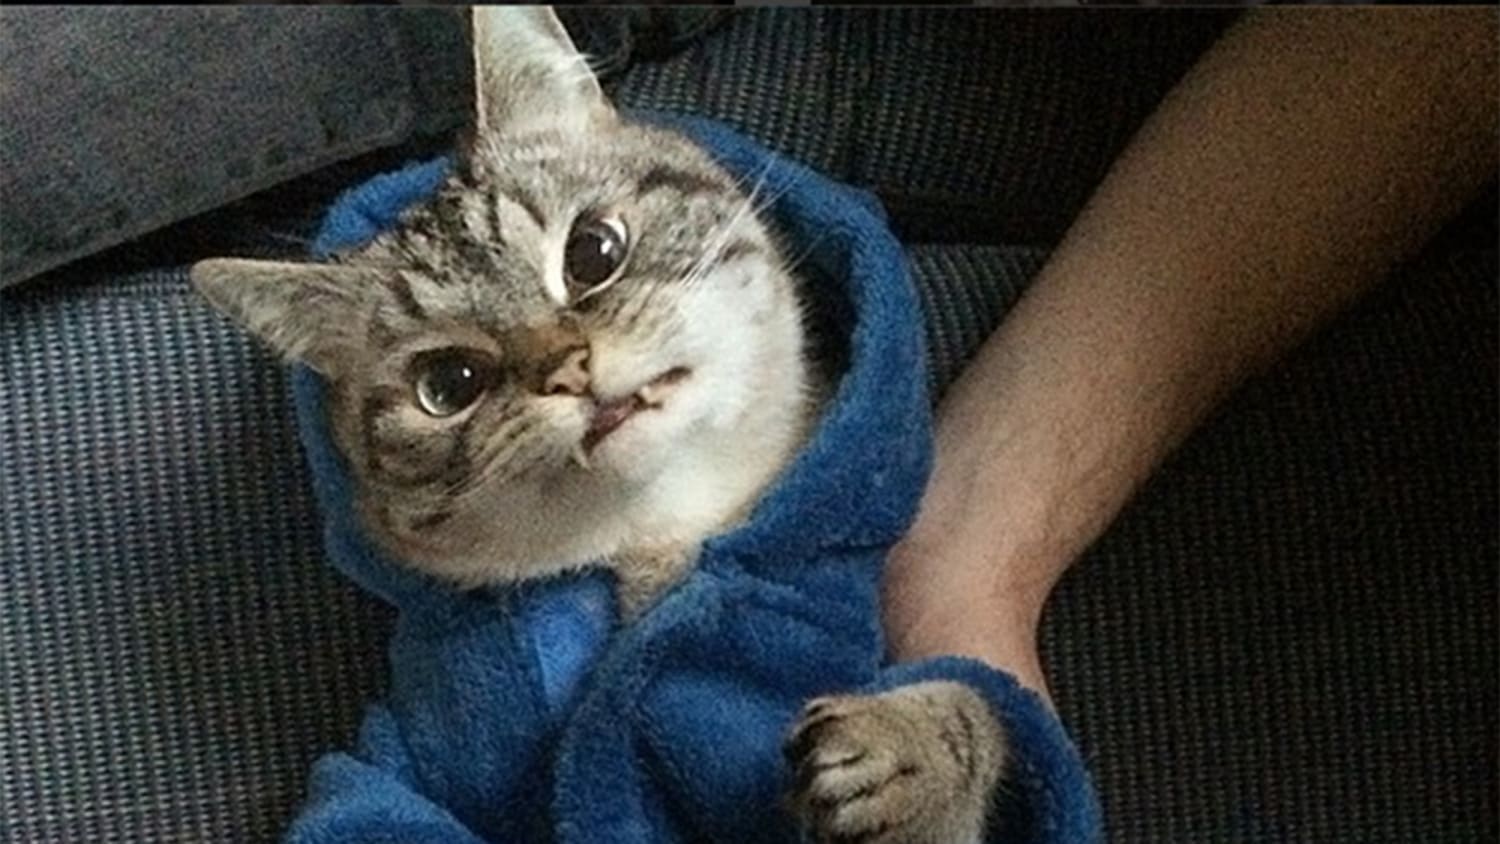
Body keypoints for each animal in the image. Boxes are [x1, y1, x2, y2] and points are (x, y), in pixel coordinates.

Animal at [191, 7, 1005, 843]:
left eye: (593, 250)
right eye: (448, 385)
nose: (566, 370)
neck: (661, 543)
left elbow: (978, 706)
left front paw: (907, 748)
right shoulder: (396, 764)